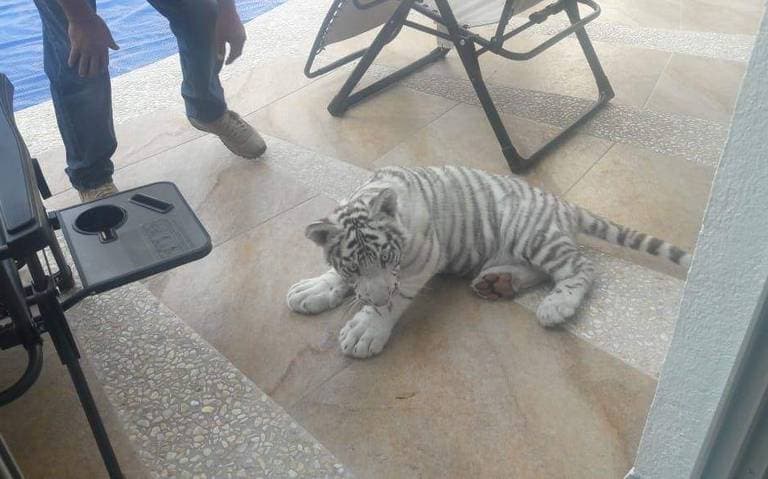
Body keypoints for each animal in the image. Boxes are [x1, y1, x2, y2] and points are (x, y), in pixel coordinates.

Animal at [286, 165, 690, 358]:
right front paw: (316, 288)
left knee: (582, 267)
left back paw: (557, 305)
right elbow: (338, 277)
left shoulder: (424, 258)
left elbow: (395, 297)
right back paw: (498, 283)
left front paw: (367, 329)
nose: (375, 297)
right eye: (353, 266)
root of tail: (561, 203)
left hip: (529, 231)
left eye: (388, 257)